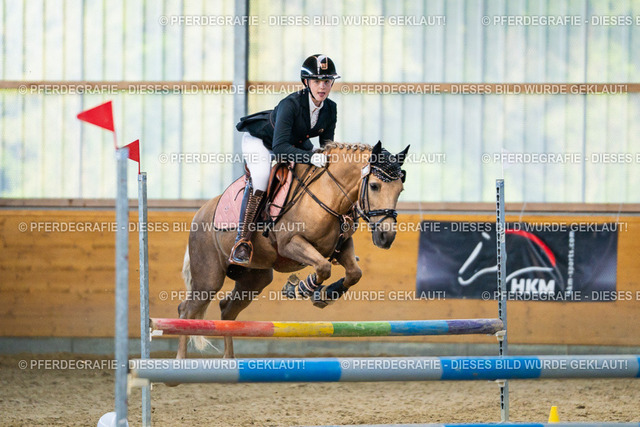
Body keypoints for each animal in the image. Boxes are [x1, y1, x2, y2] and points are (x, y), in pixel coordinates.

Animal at [177, 141, 409, 359]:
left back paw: (229, 359)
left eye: (400, 190)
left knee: (227, 310)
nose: (386, 237)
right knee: (186, 310)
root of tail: (200, 212)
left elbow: (354, 273)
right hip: (209, 278)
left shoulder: (342, 246)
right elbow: (323, 267)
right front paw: (298, 289)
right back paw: (180, 362)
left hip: (254, 280)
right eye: (374, 186)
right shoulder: (290, 244)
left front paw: (324, 295)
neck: (328, 194)